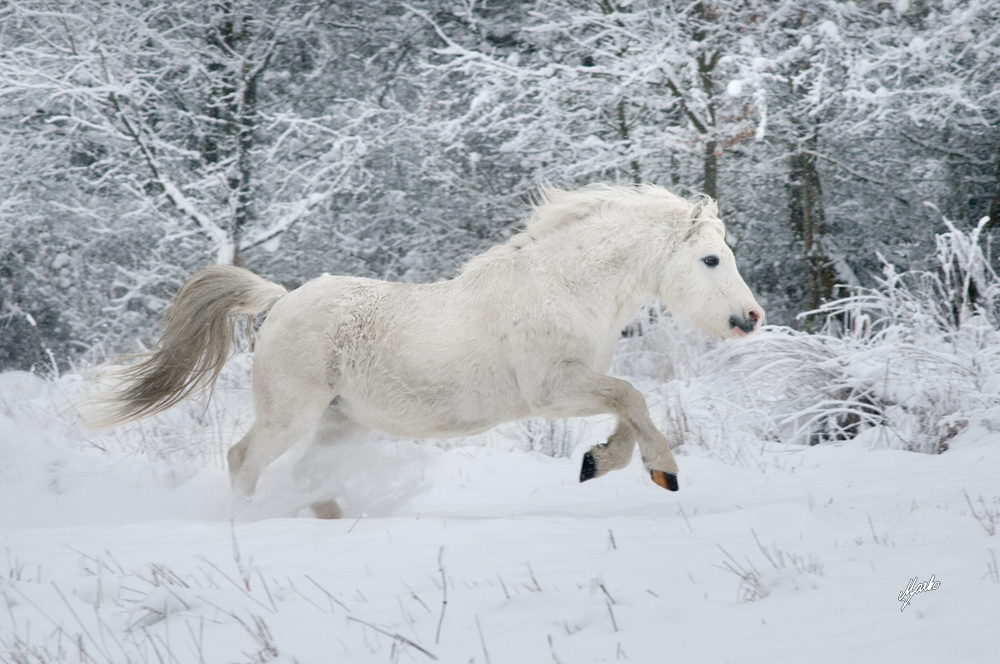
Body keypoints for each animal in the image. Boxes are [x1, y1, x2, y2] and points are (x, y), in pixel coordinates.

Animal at [95, 184, 764, 516]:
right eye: (711, 259)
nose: (751, 319)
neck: (564, 288)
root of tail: (280, 303)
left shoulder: (577, 385)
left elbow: (628, 410)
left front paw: (600, 462)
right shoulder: (552, 391)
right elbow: (634, 398)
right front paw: (665, 470)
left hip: (341, 421)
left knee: (308, 477)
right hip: (290, 414)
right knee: (243, 461)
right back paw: (245, 527)